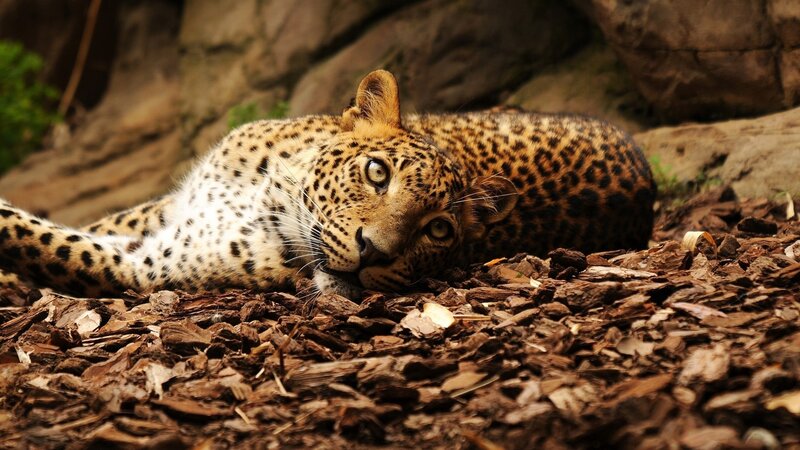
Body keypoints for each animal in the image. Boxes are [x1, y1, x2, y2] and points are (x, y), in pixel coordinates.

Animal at [0, 70, 655, 299]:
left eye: (438, 231)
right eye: (377, 173)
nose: (376, 254)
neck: (266, 195)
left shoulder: (145, 266)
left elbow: (36, 238)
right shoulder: (170, 209)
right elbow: (93, 221)